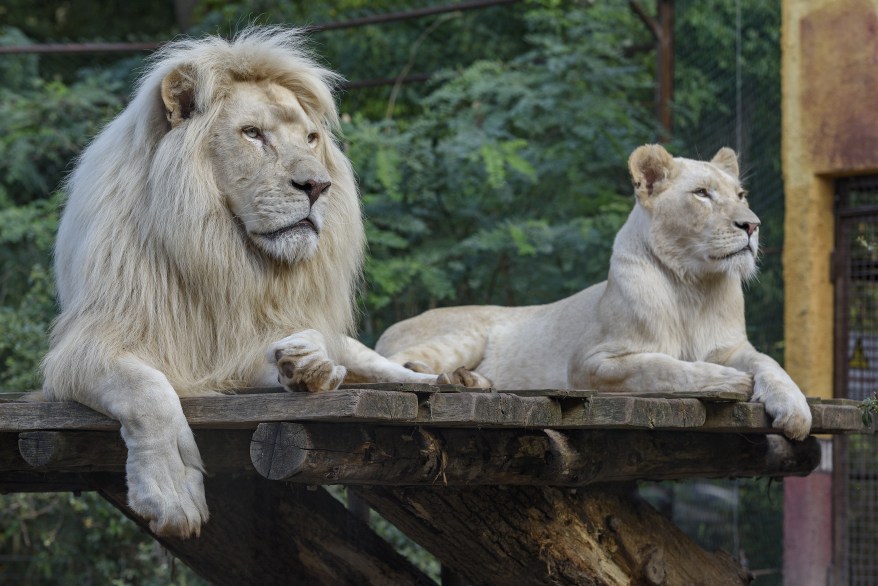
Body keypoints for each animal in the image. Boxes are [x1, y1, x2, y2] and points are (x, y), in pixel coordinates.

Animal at [42, 28, 440, 540]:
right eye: (253, 134)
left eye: (310, 138)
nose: (318, 186)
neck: (222, 258)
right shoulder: (83, 349)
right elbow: (149, 392)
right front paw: (171, 494)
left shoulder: (241, 348)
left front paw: (306, 365)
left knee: (379, 364)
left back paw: (452, 379)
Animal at [374, 145, 816, 438]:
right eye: (702, 193)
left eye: (741, 195)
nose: (752, 225)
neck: (693, 285)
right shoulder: (590, 362)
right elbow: (660, 366)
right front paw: (728, 382)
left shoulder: (732, 346)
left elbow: (769, 363)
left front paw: (794, 409)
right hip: (465, 333)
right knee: (391, 368)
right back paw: (457, 380)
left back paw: (471, 380)